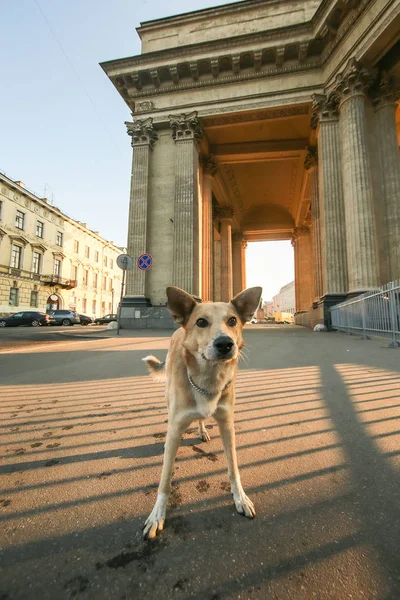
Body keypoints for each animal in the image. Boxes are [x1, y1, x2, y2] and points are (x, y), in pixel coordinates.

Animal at [143, 286, 262, 540]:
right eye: (201, 322)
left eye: (232, 320)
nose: (225, 343)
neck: (208, 379)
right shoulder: (176, 428)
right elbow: (165, 481)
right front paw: (157, 515)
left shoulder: (227, 424)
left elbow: (233, 467)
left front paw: (240, 498)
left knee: (200, 419)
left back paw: (202, 430)